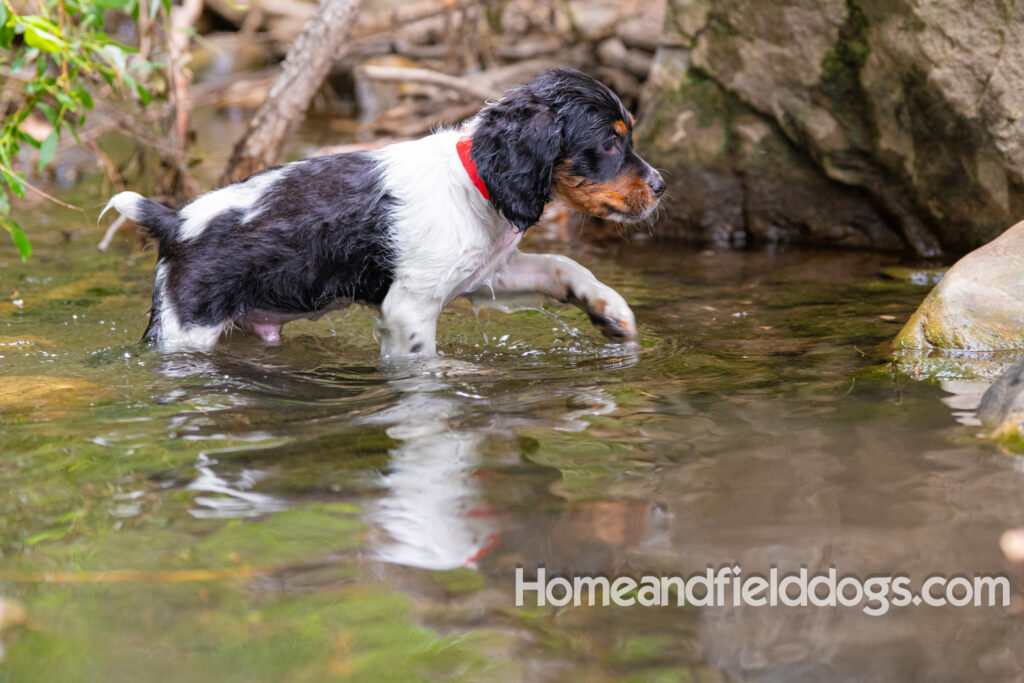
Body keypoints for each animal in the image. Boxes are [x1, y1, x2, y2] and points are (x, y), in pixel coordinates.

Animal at [103, 68, 663, 358]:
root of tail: (176, 220)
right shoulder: (408, 308)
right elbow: (421, 364)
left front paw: (610, 310)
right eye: (610, 143)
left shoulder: (487, 272)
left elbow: (560, 265)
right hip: (185, 329)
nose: (660, 186)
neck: (475, 182)